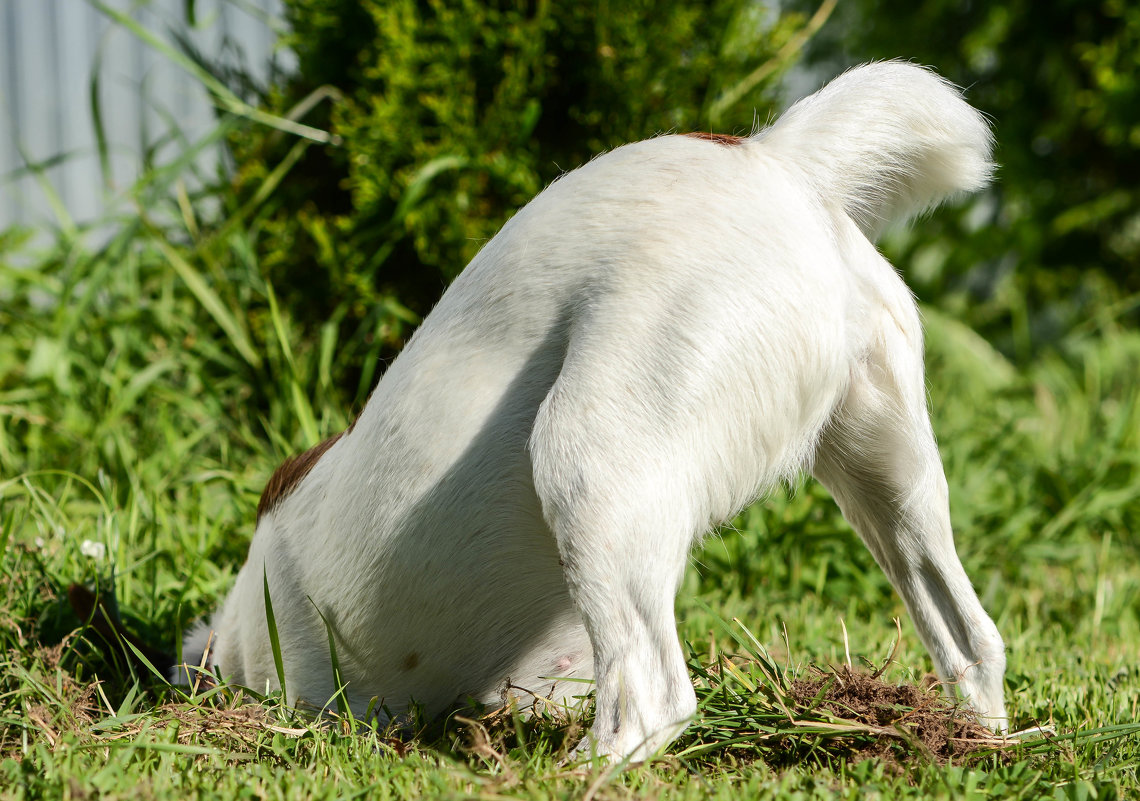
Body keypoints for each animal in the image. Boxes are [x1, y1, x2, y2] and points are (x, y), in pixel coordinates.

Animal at [182, 62, 1012, 765]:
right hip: (888, 475)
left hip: (587, 458)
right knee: (973, 639)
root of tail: (776, 157)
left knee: (651, 698)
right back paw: (977, 746)